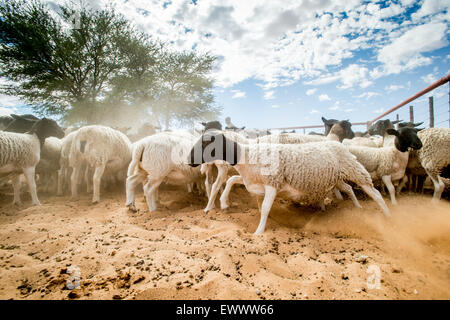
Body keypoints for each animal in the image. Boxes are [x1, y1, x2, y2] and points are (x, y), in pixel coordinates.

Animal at [188, 131, 388, 234]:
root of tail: (338, 143)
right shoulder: (254, 182)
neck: (247, 154)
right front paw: (223, 203)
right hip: (337, 178)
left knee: (374, 193)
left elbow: (266, 209)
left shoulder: (272, 183)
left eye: (206, 143)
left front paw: (259, 232)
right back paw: (352, 208)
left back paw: (387, 215)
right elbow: (231, 180)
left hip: (355, 170)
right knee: (348, 188)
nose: (189, 161)